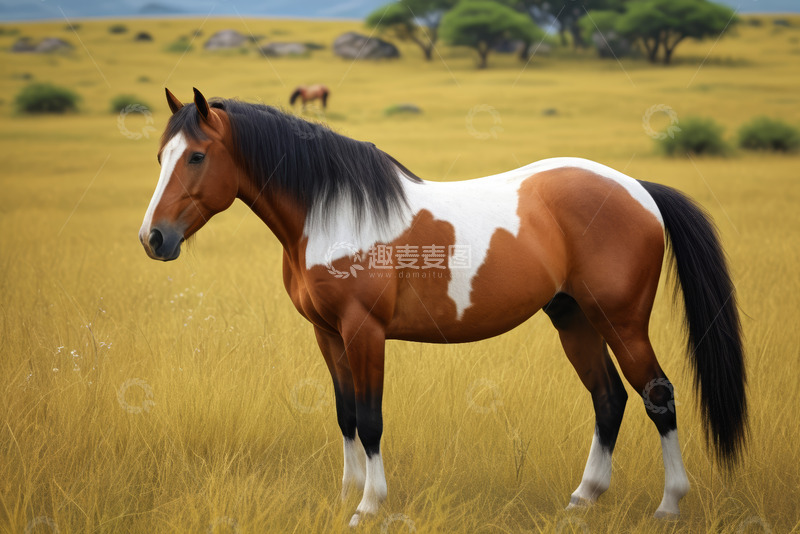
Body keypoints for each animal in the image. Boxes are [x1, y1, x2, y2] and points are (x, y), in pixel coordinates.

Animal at [140, 88, 747, 527]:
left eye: (196, 156)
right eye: (160, 156)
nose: (153, 239)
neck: (332, 213)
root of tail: (637, 189)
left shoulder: (364, 332)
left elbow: (370, 419)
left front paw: (369, 506)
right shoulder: (327, 334)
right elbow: (343, 415)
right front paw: (345, 495)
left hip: (621, 321)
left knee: (658, 396)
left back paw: (669, 505)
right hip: (574, 318)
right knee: (609, 398)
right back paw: (584, 497)